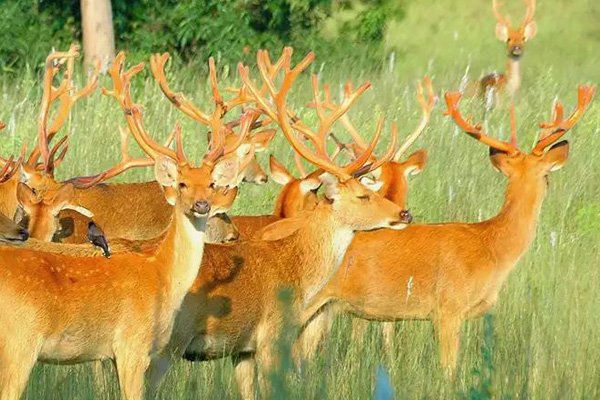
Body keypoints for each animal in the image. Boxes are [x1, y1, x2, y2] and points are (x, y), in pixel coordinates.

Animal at [300, 84, 596, 376]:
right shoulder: (448, 307)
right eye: (546, 176)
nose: (550, 185)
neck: (492, 247)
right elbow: (449, 371)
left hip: (321, 311)